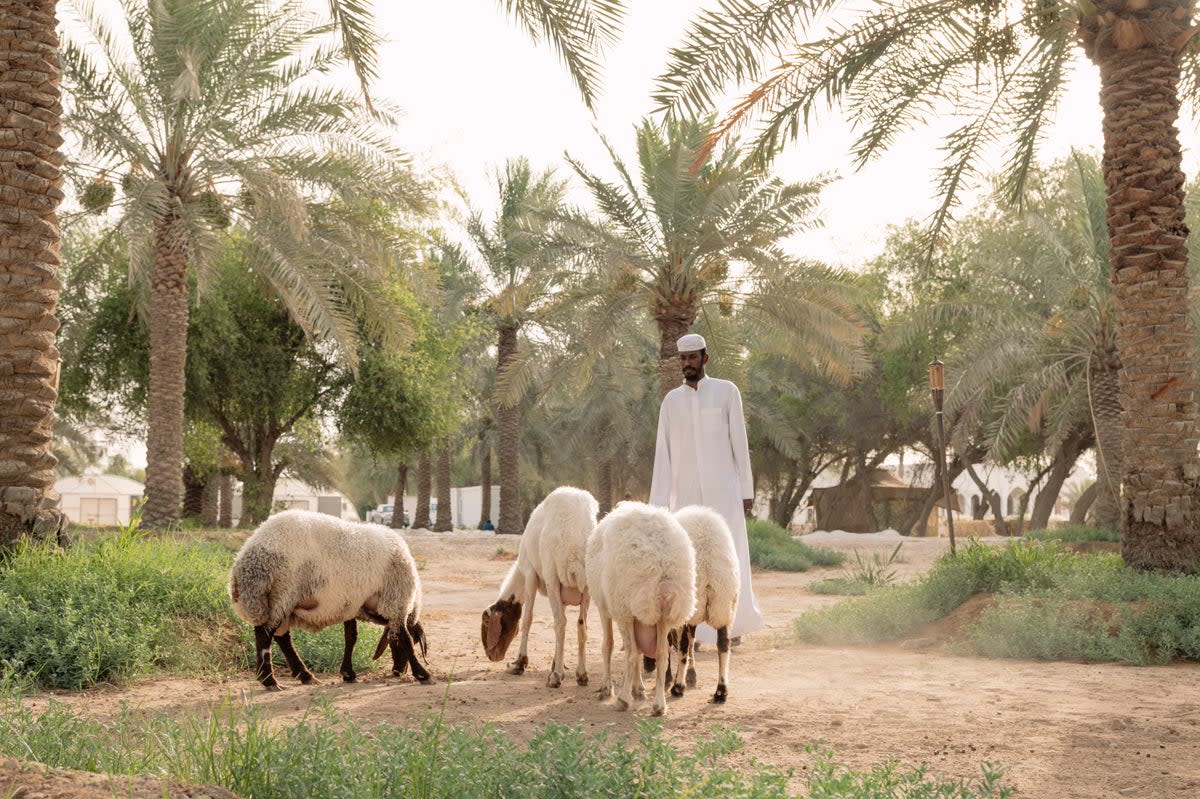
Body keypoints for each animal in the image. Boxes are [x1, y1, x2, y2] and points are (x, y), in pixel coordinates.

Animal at [226, 506, 429, 686]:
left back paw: (304, 675)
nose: (398, 671)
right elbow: (404, 636)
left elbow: (351, 637)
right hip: (282, 593)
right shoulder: (396, 601)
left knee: (281, 637)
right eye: (393, 643)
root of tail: (249, 557)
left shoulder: (351, 603)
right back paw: (269, 680)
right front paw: (422, 673)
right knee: (265, 634)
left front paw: (348, 673)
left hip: (280, 600)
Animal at [480, 482, 597, 686]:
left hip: (551, 575)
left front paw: (519, 663)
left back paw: (556, 677)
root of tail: (574, 544)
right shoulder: (562, 593)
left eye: (487, 622)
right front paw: (556, 662)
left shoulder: (530, 574)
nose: (491, 656)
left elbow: (527, 619)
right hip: (585, 584)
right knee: (580, 625)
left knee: (560, 622)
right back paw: (581, 674)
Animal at [588, 499, 700, 715]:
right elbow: (642, 651)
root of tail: (662, 564)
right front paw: (638, 688)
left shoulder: (606, 607)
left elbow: (608, 645)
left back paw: (623, 699)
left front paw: (608, 688)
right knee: (662, 655)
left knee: (631, 654)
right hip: (663, 613)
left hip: (626, 608)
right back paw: (659, 705)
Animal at [672, 506, 734, 700]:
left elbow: (684, 643)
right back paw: (721, 690)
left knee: (684, 645)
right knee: (723, 644)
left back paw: (678, 687)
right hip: (724, 604)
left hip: (691, 605)